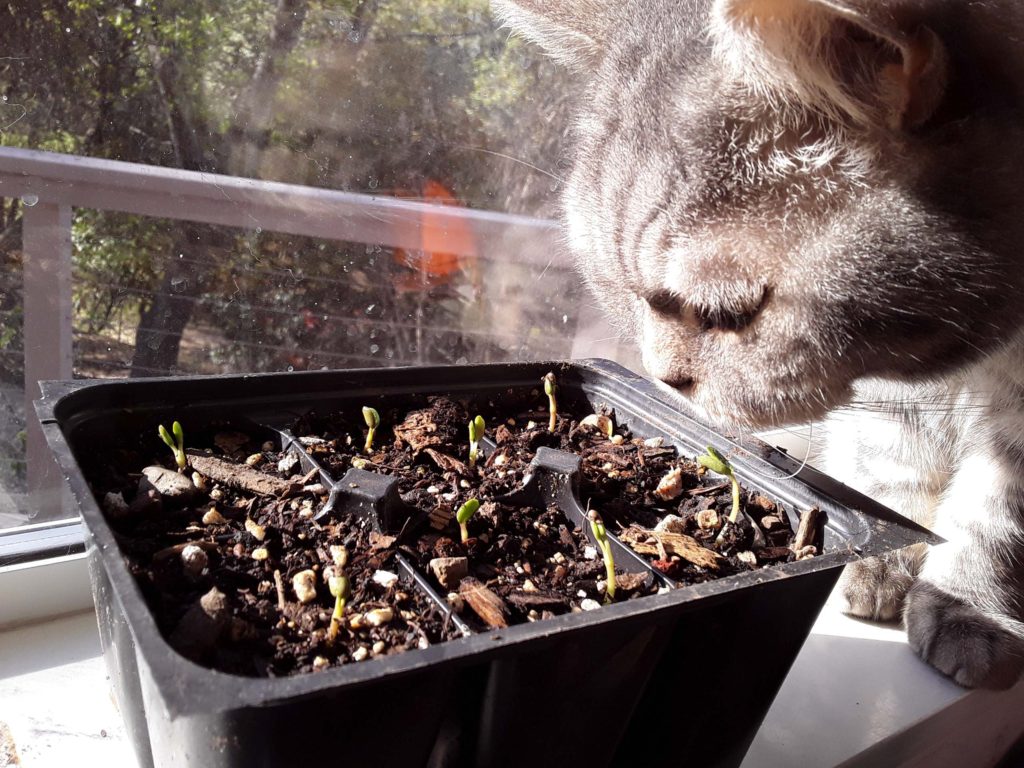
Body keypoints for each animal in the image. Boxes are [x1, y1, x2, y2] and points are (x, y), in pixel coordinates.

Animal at [495, 0, 1024, 688]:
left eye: (724, 312)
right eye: (618, 294)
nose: (663, 380)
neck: (989, 354)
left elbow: (997, 520)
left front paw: (969, 607)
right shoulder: (893, 394)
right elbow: (895, 464)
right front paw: (887, 563)